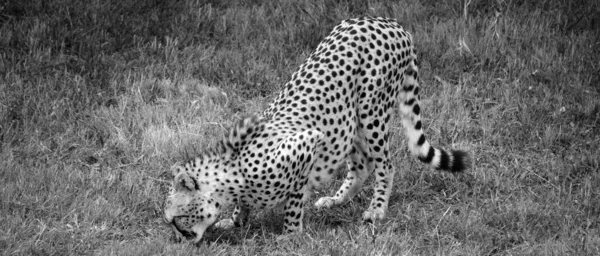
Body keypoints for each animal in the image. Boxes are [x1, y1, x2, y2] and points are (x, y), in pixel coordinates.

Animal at [163, 16, 468, 242]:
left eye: (176, 218)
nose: (179, 239)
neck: (232, 175)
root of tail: (387, 21)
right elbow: (245, 207)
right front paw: (236, 221)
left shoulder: (306, 144)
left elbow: (294, 199)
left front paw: (289, 235)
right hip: (350, 122)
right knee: (362, 165)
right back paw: (336, 200)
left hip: (371, 112)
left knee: (385, 164)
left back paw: (376, 209)